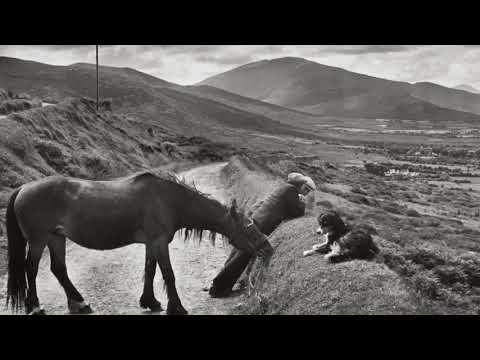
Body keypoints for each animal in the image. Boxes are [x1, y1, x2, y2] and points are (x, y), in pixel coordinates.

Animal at [4, 170, 266, 314]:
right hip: (38, 240)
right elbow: (168, 274)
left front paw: (150, 301)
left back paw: (79, 303)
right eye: (248, 228)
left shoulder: (151, 244)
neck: (168, 200)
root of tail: (23, 188)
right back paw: (35, 306)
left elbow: (150, 271)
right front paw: (177, 307)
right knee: (31, 269)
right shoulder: (159, 243)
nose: (267, 247)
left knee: (59, 269)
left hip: (56, 238)